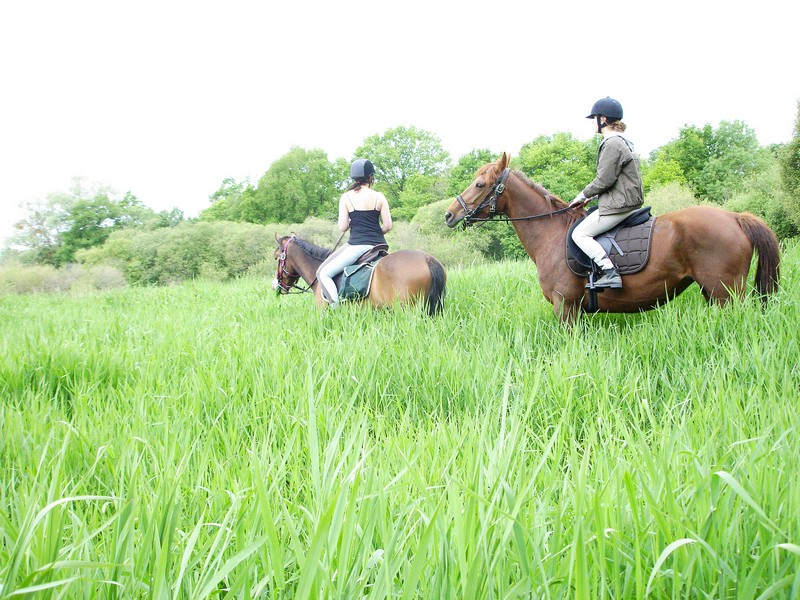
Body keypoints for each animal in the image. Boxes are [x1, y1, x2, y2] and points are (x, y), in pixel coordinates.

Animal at [440, 154, 780, 324]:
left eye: (479, 184)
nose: (449, 214)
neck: (550, 234)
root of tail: (735, 217)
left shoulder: (566, 309)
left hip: (727, 295)